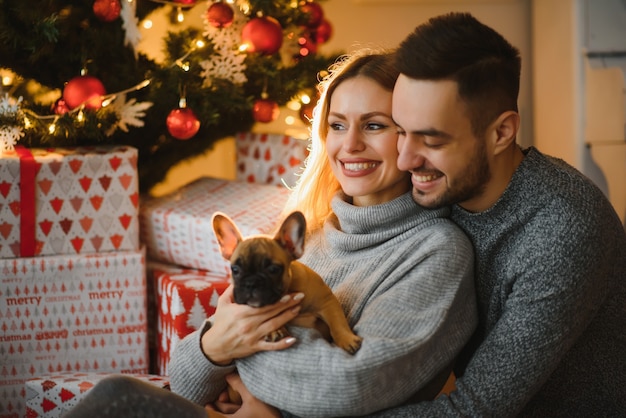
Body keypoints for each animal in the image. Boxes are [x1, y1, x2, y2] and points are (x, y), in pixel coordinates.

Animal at [212, 211, 360, 354]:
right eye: (235, 270)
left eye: (273, 269)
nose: (251, 283)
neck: (287, 290)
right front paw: (274, 331)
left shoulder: (327, 301)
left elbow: (337, 322)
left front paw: (346, 339)